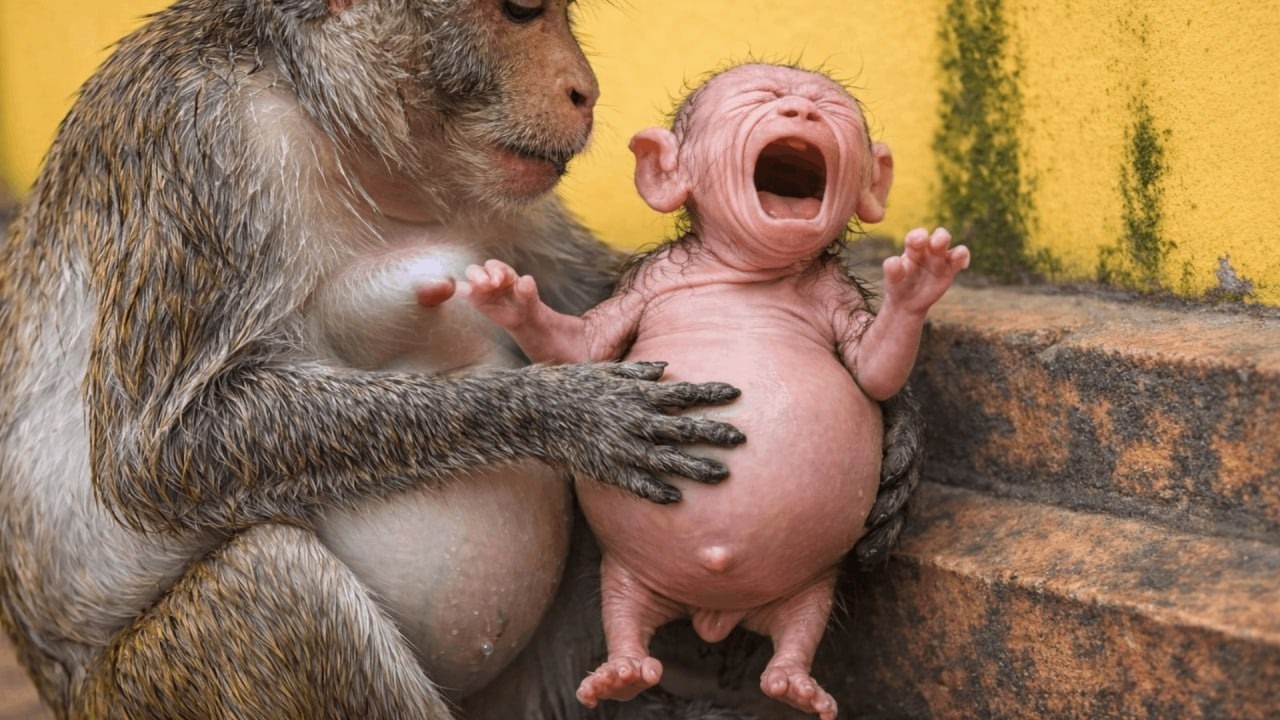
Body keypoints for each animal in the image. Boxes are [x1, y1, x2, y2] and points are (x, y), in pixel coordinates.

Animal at [0, 1, 922, 718]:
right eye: (520, 9)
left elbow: (593, 299)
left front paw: (900, 427)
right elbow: (157, 455)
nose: (585, 89)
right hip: (149, 691)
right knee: (281, 588)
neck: (328, 116)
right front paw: (567, 413)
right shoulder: (200, 140)